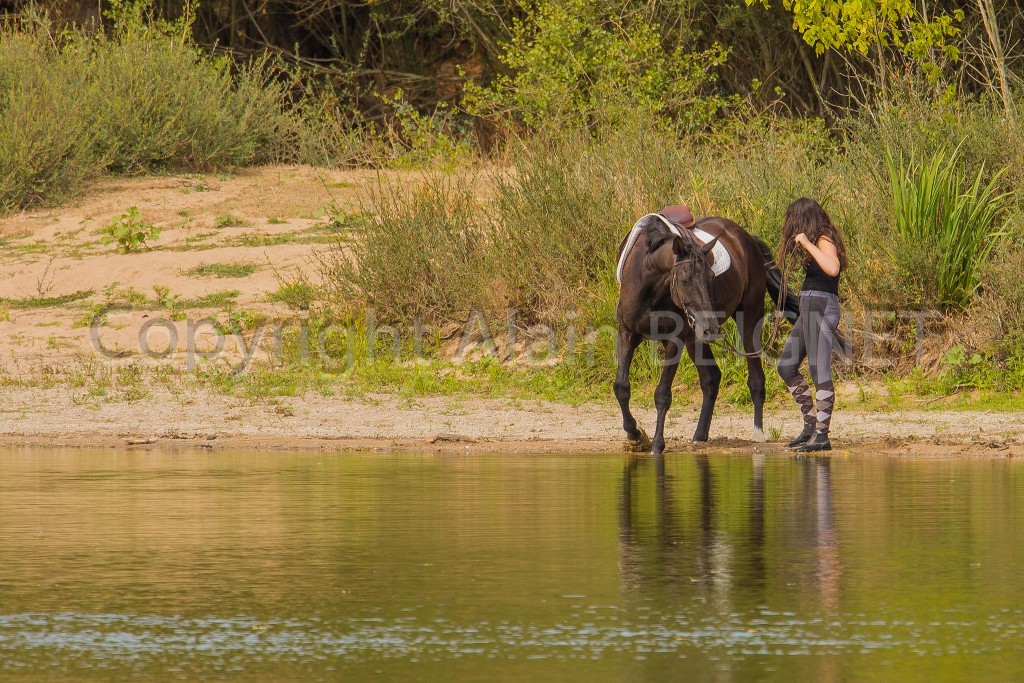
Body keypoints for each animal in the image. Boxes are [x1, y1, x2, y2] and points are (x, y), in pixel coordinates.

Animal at [610, 208, 794, 454]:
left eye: (711, 277)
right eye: (685, 280)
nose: (711, 326)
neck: (646, 281)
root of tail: (746, 238)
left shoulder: (674, 341)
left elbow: (663, 394)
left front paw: (657, 444)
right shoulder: (628, 333)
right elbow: (621, 387)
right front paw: (635, 436)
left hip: (748, 320)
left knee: (755, 378)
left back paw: (758, 433)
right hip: (696, 338)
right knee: (711, 378)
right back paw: (700, 435)